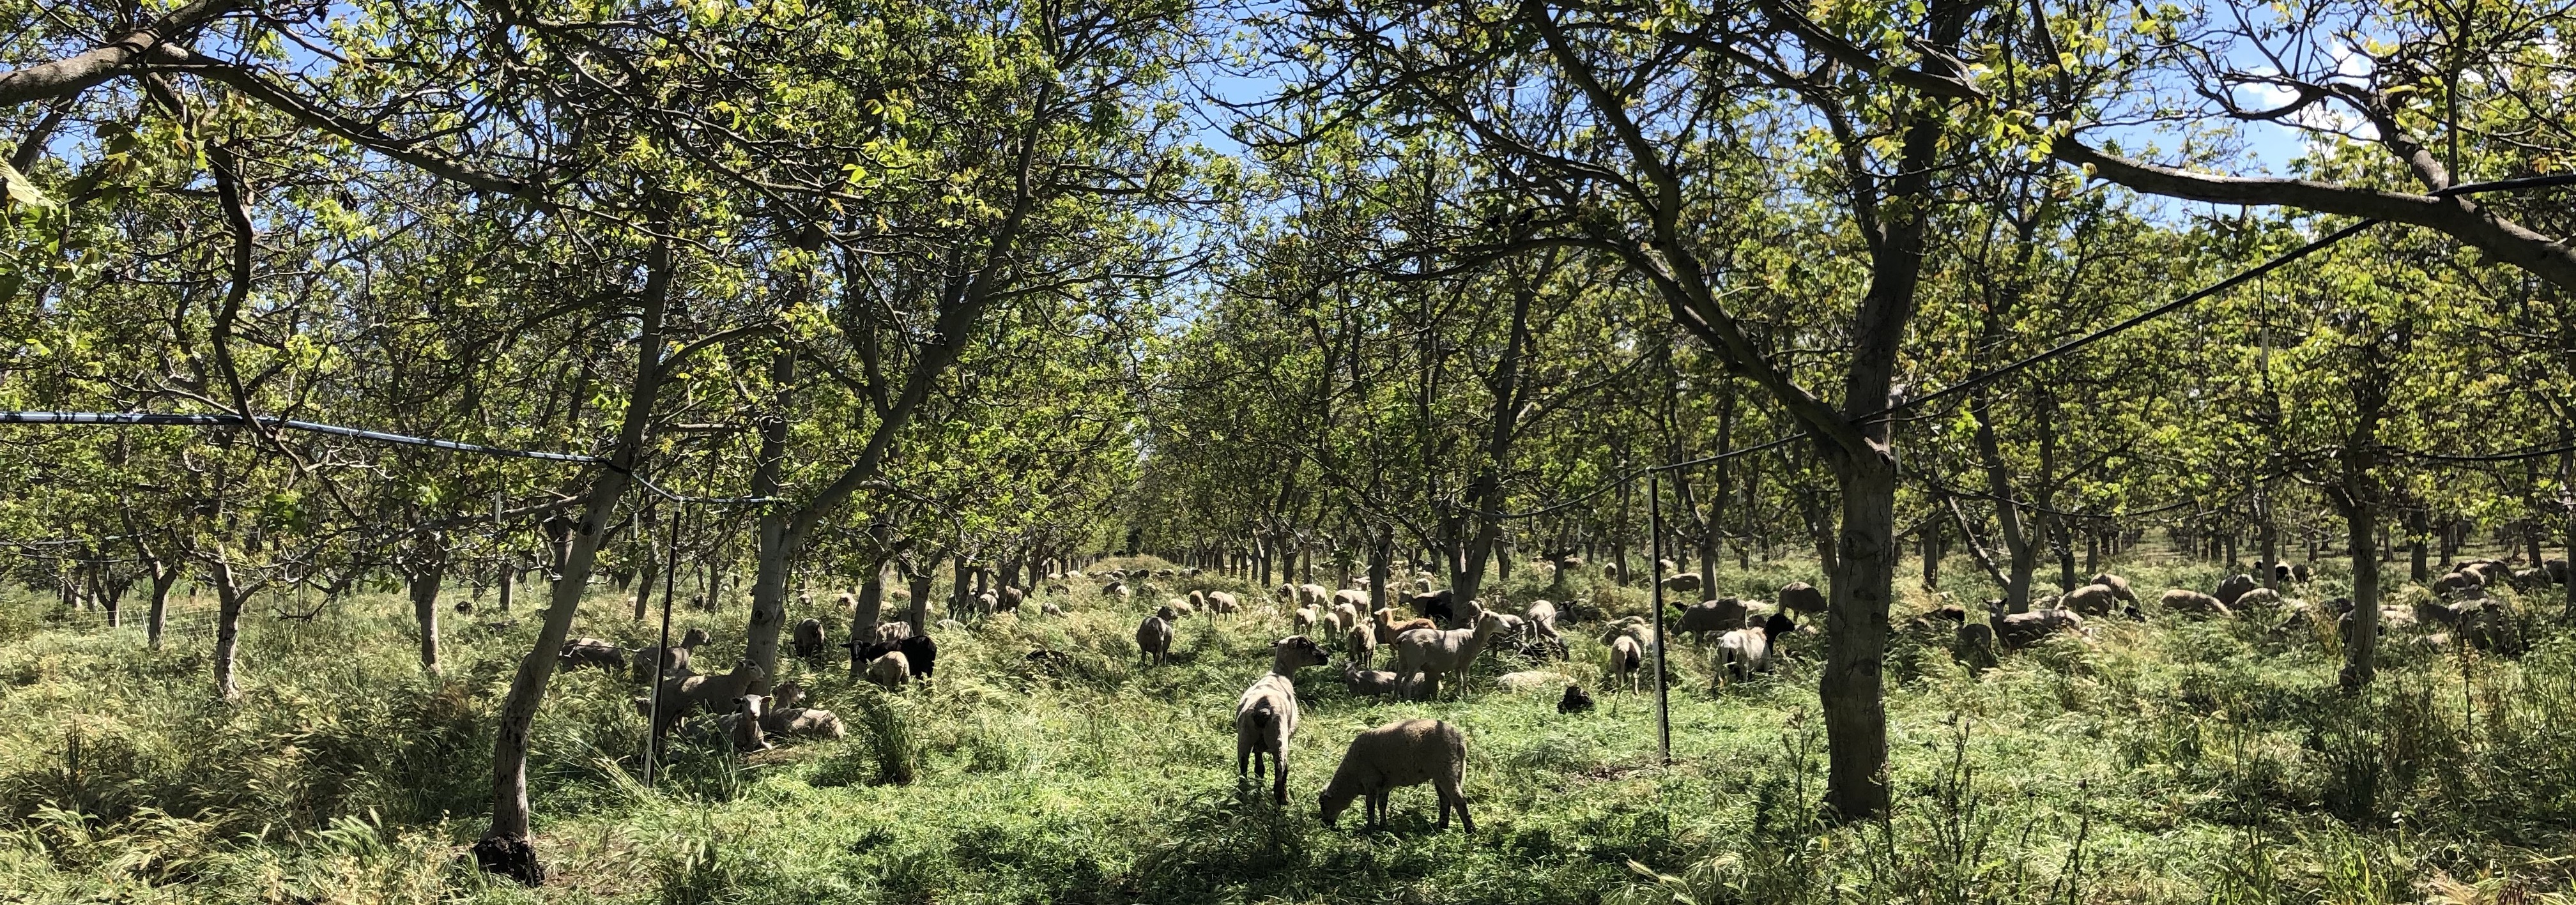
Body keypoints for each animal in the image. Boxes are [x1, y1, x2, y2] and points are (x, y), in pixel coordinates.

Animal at [1235, 636, 1333, 804]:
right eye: (1306, 644)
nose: (1326, 655)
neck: (1281, 674)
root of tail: (1263, 708)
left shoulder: (1258, 746)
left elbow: (1259, 770)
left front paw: (1258, 794)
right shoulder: (1288, 737)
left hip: (1244, 740)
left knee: (1243, 779)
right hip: (1279, 741)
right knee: (1279, 783)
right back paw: (1283, 804)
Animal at [1317, 719, 1472, 833]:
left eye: (1323, 804)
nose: (1325, 824)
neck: (1351, 776)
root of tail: (1458, 740)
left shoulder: (1370, 781)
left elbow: (1370, 805)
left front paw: (1370, 828)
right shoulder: (1385, 785)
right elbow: (1382, 804)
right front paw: (1383, 825)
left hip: (1445, 770)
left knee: (1459, 800)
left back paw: (1469, 830)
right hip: (1453, 772)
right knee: (1446, 801)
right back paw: (1443, 826)